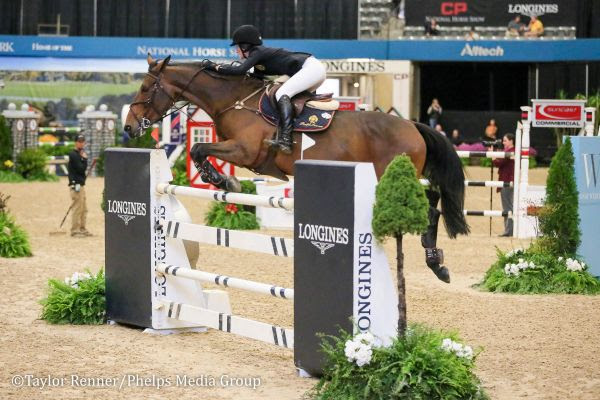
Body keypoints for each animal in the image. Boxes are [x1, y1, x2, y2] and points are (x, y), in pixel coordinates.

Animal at [123, 54, 468, 282]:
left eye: (145, 88)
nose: (128, 128)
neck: (234, 100)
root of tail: (412, 125)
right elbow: (200, 150)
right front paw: (223, 181)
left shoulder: (245, 151)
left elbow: (198, 149)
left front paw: (223, 181)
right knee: (434, 202)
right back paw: (436, 260)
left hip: (392, 178)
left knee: (431, 209)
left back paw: (437, 265)